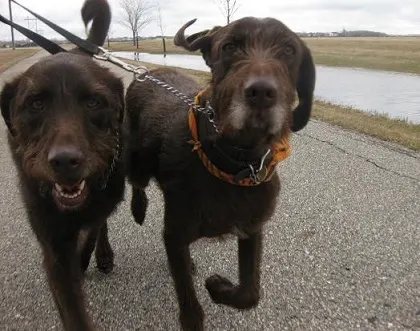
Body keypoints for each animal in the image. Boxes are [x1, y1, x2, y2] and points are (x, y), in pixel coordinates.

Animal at [0, 1, 124, 330]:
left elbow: (94, 225)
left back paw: (100, 255)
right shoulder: (52, 244)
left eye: (93, 102)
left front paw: (89, 254)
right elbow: (72, 308)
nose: (65, 161)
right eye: (36, 103)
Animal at [124, 16, 316, 330]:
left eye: (289, 50)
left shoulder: (251, 228)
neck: (235, 164)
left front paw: (217, 287)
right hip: (138, 161)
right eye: (229, 46)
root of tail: (146, 73)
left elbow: (250, 293)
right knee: (137, 184)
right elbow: (188, 302)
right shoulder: (175, 232)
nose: (261, 93)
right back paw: (138, 209)